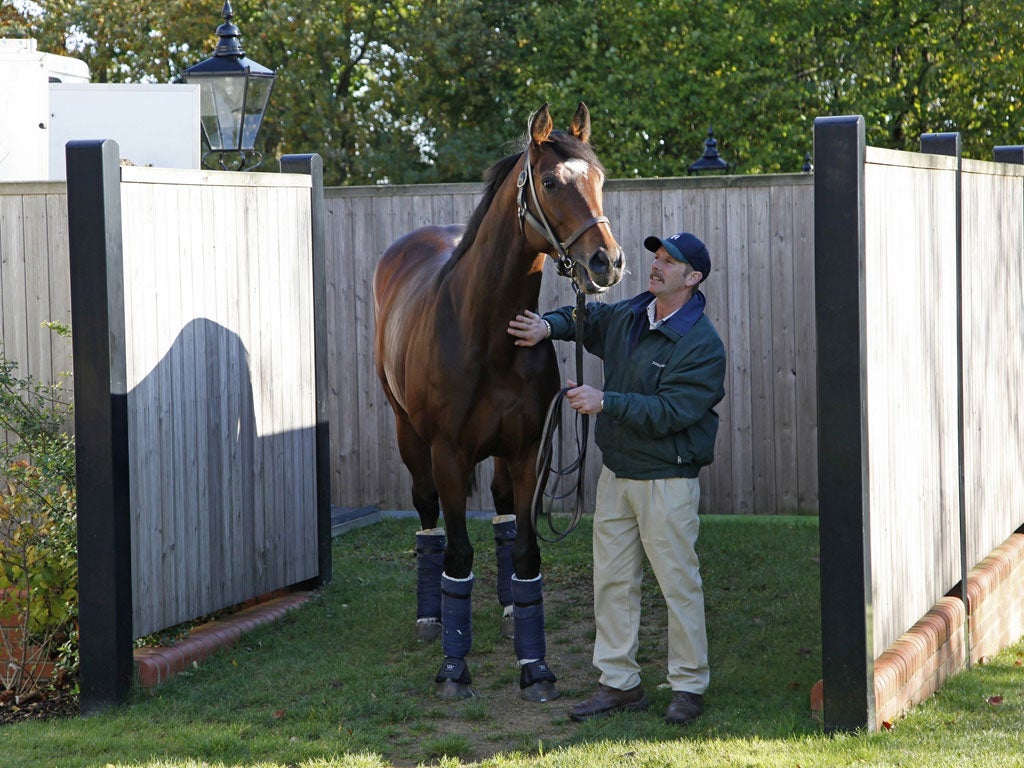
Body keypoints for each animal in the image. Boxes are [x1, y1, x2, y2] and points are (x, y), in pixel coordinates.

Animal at [372, 103, 618, 704]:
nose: (607, 261)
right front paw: (453, 668)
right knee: (427, 514)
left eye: (600, 179)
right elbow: (458, 554)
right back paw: (430, 618)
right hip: (408, 435)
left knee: (505, 515)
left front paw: (535, 666)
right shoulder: (448, 455)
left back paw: (508, 611)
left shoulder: (531, 451)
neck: (486, 333)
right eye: (550, 183)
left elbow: (527, 549)